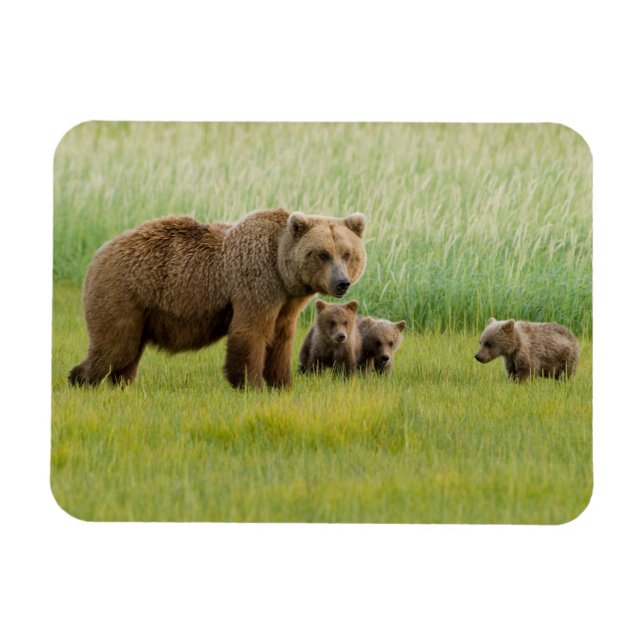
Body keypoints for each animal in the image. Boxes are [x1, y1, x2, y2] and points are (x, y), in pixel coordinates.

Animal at [68, 208, 366, 389]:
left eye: (347, 253)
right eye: (323, 253)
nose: (342, 283)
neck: (281, 270)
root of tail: (99, 252)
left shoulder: (286, 302)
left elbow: (281, 339)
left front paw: (281, 383)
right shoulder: (256, 284)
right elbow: (251, 332)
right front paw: (250, 384)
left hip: (141, 311)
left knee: (127, 352)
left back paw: (121, 384)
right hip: (123, 293)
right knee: (114, 346)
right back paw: (80, 380)